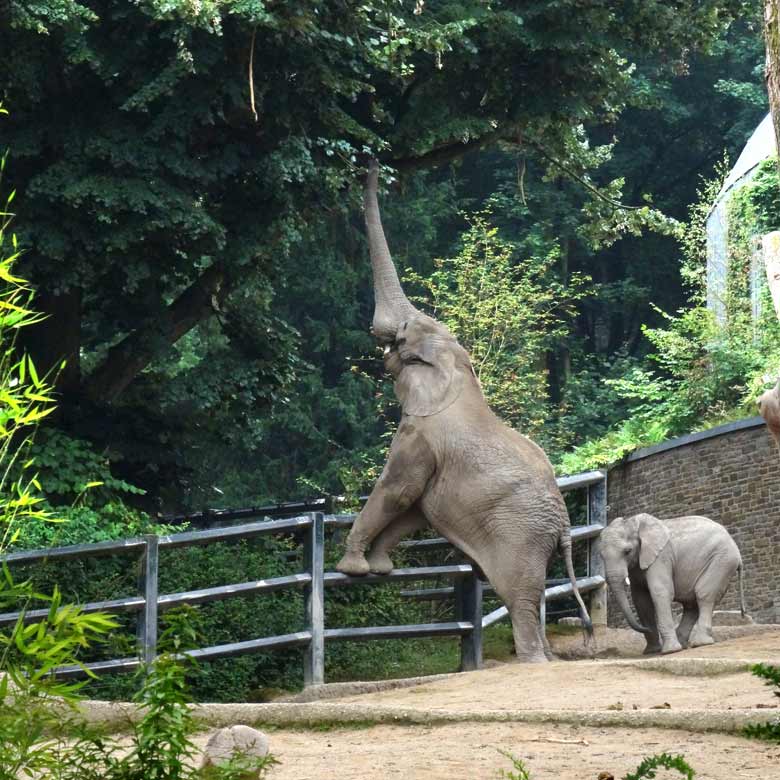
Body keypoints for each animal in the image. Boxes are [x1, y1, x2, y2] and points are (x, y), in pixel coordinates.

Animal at [336, 161, 592, 660]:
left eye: (403, 336)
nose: (372, 162)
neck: (458, 370)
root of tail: (567, 527)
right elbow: (416, 508)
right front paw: (379, 568)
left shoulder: (418, 436)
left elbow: (397, 491)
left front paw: (350, 567)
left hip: (520, 537)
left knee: (520, 596)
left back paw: (533, 660)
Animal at [600, 516, 748, 656]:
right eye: (601, 556)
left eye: (627, 551)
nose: (645, 628)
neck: (635, 523)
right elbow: (641, 600)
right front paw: (652, 651)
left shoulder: (661, 556)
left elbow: (660, 592)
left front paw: (670, 651)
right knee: (692, 604)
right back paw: (683, 644)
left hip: (722, 561)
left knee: (703, 594)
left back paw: (699, 643)